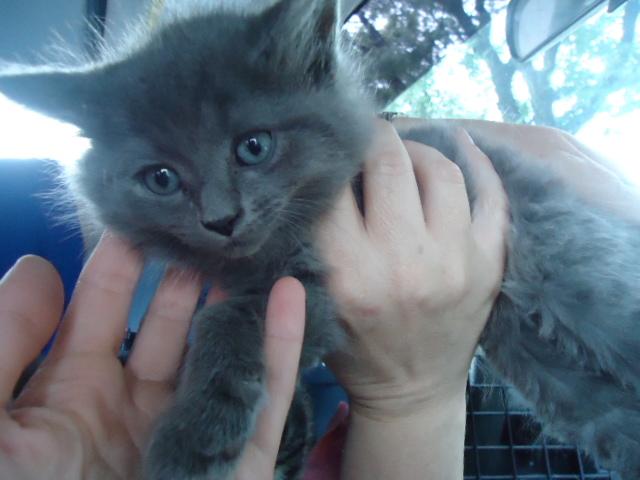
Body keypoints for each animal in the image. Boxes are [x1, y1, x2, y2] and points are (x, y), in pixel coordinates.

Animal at [1, 0, 640, 480]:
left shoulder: (304, 285)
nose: (221, 219)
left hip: (573, 278)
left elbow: (222, 319)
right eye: (161, 179)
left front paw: (193, 436)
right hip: (549, 372)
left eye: (253, 147)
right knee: (601, 411)